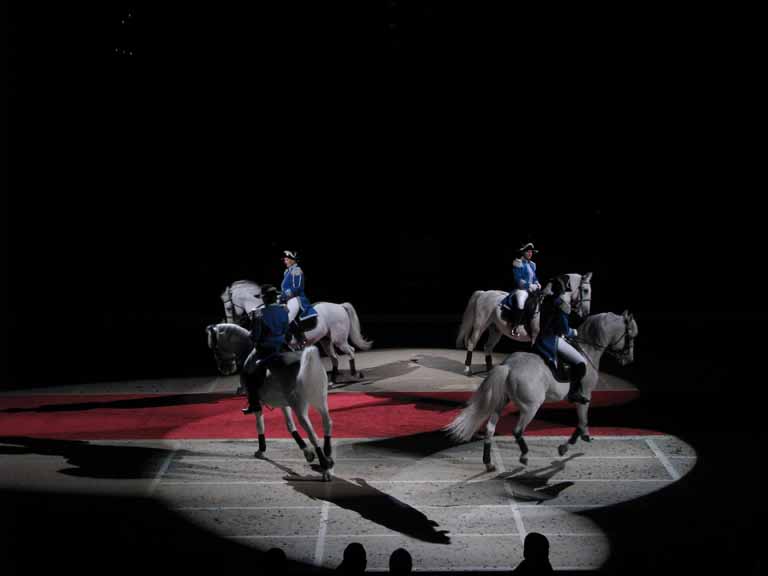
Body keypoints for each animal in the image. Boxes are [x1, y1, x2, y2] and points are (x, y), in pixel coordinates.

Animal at [206, 322, 334, 480]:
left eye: (215, 349)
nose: (225, 369)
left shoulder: (258, 403)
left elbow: (260, 425)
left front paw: (261, 450)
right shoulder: (284, 405)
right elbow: (290, 426)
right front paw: (307, 452)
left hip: (299, 407)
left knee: (312, 434)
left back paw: (325, 467)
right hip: (321, 401)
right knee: (327, 423)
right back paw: (328, 459)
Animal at [219, 280, 372, 382]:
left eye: (229, 308)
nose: (232, 323)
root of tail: (340, 306)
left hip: (339, 340)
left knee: (350, 350)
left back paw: (354, 374)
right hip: (326, 340)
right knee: (334, 357)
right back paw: (333, 380)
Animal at [444, 310, 636, 468]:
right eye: (631, 336)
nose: (629, 360)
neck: (588, 350)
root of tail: (509, 366)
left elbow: (581, 423)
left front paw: (575, 442)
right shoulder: (585, 395)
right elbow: (582, 422)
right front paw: (567, 446)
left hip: (501, 402)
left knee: (490, 429)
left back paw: (489, 463)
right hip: (531, 407)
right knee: (517, 431)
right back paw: (524, 456)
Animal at [456, 274, 592, 376]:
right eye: (585, 290)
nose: (586, 313)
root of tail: (484, 293)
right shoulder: (538, 338)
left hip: (496, 329)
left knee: (488, 347)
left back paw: (490, 371)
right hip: (480, 326)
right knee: (472, 343)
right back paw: (468, 369)